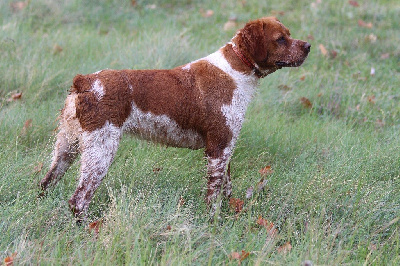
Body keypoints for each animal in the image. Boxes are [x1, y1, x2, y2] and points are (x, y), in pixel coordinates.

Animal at [39, 17, 310, 220]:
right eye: (280, 38)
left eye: (289, 34)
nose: (308, 45)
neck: (235, 71)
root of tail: (85, 81)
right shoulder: (218, 148)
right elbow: (213, 197)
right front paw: (212, 224)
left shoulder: (227, 147)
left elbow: (226, 190)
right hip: (100, 150)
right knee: (78, 200)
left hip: (67, 147)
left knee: (45, 184)